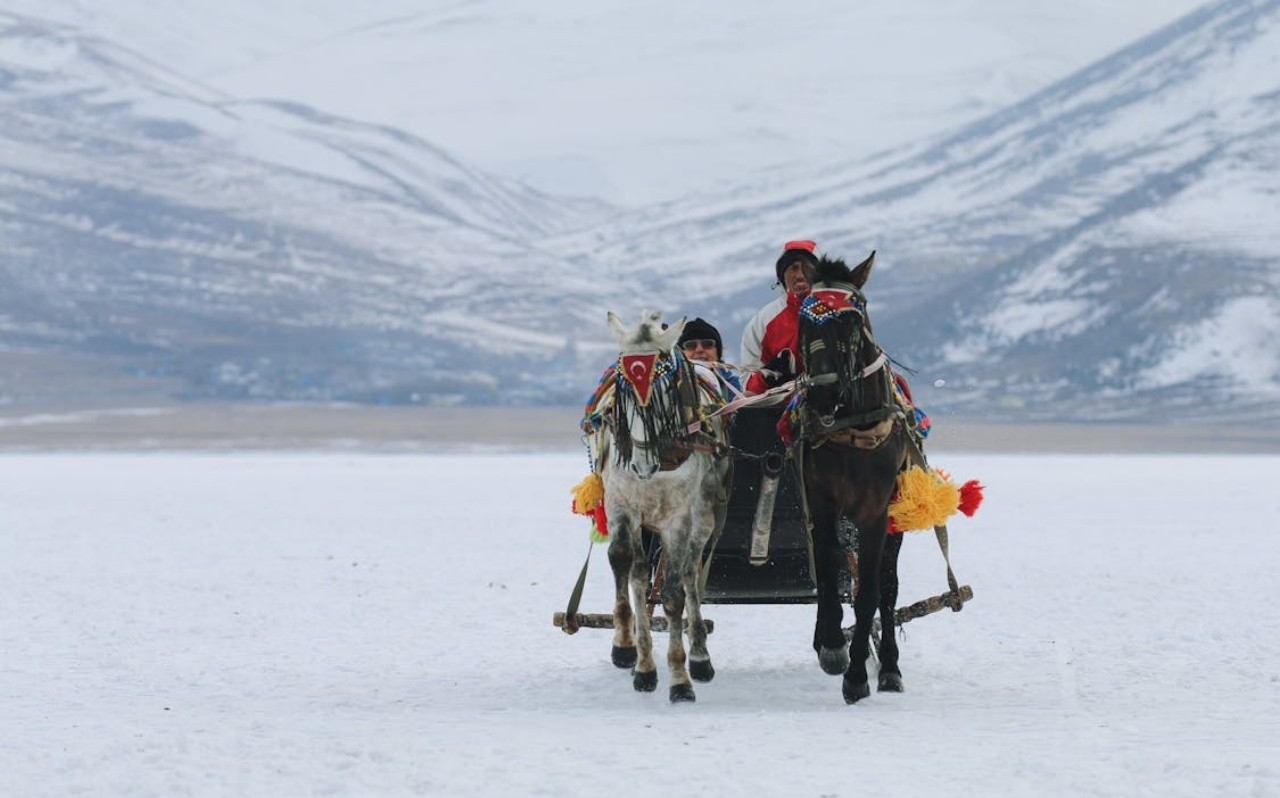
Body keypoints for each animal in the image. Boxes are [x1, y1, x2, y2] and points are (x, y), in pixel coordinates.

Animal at [600, 310, 734, 702]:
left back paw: (700, 657)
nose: (643, 466)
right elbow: (623, 563)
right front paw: (630, 653)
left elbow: (674, 594)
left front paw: (679, 679)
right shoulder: (622, 503)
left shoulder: (679, 518)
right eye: (623, 387)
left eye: (664, 389)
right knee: (641, 575)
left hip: (703, 516)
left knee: (690, 573)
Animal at [790, 252, 909, 704]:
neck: (853, 427)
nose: (823, 393)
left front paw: (858, 675)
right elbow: (827, 570)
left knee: (888, 589)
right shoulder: (820, 501)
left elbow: (868, 595)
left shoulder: (876, 512)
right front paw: (831, 647)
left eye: (851, 320)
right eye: (805, 321)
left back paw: (890, 667)